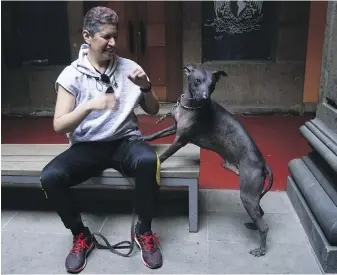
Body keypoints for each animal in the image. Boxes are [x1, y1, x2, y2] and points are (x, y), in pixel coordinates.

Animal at [141, 66, 272, 258]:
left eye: (213, 83)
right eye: (197, 80)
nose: (205, 97)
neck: (190, 105)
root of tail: (264, 164)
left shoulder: (181, 139)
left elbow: (164, 155)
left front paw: (157, 160)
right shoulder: (174, 128)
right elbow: (156, 134)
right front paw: (142, 137)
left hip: (248, 195)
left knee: (265, 226)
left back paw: (261, 249)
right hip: (253, 198)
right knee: (260, 214)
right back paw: (252, 225)